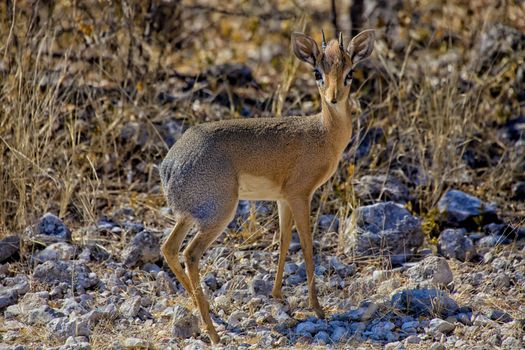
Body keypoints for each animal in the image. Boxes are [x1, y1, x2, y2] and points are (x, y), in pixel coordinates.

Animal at [160, 28, 372, 344]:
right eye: (317, 72)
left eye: (350, 73)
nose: (333, 98)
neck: (323, 134)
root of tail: (169, 165)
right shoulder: (300, 195)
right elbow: (307, 245)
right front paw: (317, 308)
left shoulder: (283, 199)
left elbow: (283, 241)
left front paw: (277, 295)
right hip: (219, 214)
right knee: (190, 254)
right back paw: (214, 334)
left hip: (189, 216)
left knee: (169, 248)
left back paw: (212, 315)